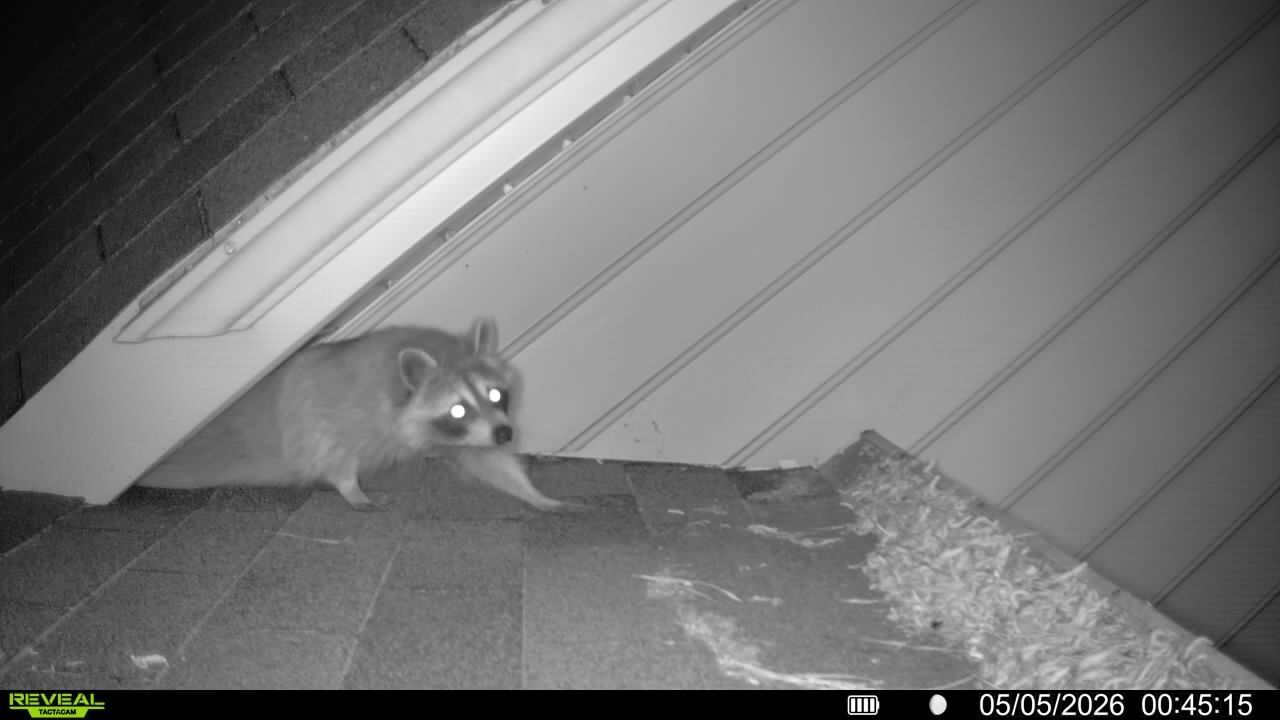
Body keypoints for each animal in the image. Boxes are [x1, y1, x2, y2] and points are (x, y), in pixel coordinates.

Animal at [134, 317, 577, 512]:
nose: (506, 434)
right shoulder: (330, 415)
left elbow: (486, 460)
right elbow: (335, 459)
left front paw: (536, 494)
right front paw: (352, 489)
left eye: (497, 394)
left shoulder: (466, 434)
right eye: (457, 407)